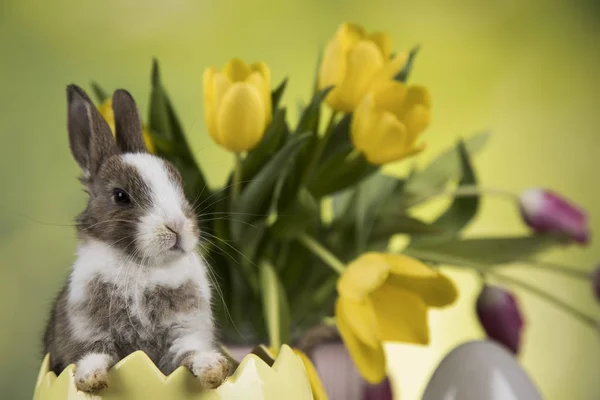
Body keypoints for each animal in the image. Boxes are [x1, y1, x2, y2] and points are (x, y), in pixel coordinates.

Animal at [41, 85, 230, 394]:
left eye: (179, 185)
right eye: (120, 196)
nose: (177, 226)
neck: (143, 267)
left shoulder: (186, 330)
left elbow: (191, 351)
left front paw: (213, 370)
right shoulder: (87, 331)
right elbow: (94, 355)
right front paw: (90, 381)